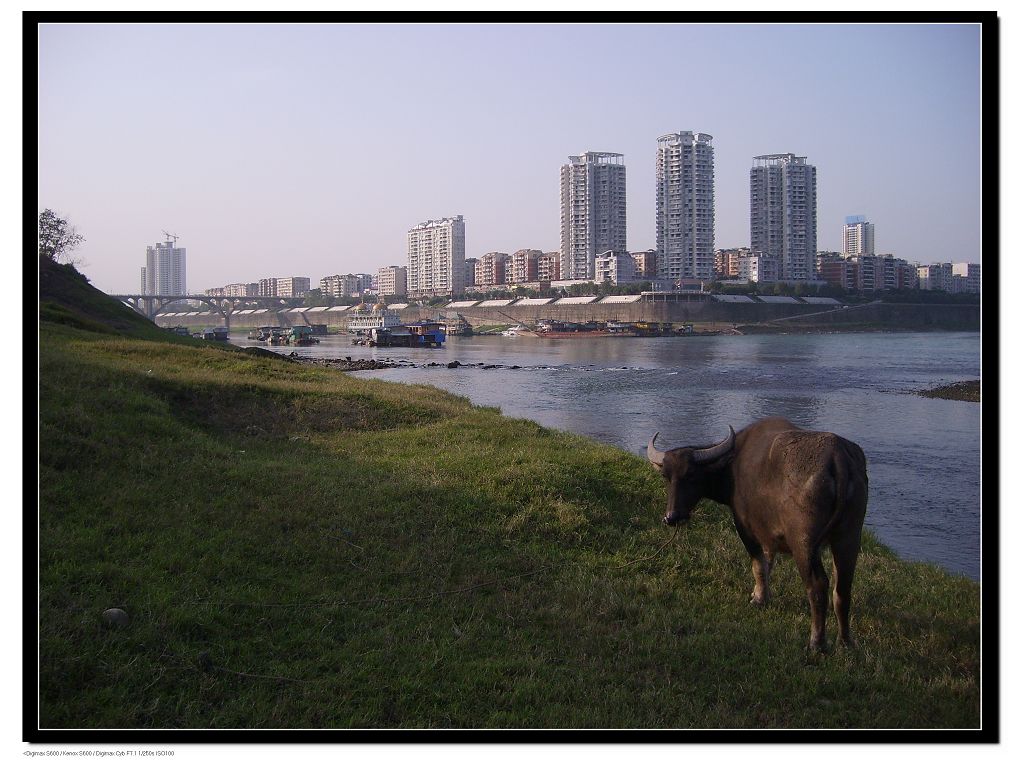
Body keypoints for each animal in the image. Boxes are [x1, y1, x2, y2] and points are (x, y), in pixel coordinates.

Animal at [644, 420, 869, 652]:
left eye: (690, 474)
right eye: (666, 476)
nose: (671, 517)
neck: (733, 466)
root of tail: (837, 455)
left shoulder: (745, 528)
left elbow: (758, 565)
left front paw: (759, 599)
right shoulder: (768, 536)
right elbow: (767, 563)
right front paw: (760, 593)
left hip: (804, 544)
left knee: (818, 586)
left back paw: (816, 642)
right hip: (849, 538)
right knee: (842, 589)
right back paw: (845, 641)